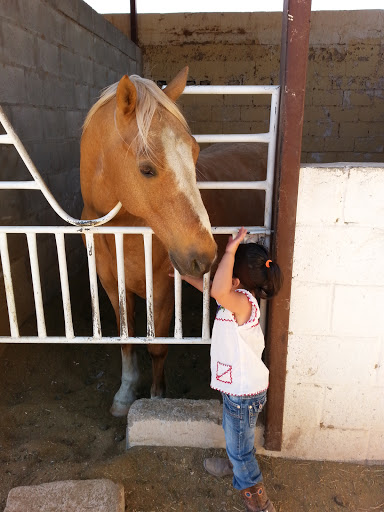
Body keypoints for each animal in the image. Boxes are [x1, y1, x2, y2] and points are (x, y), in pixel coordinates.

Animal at [79, 67, 218, 416]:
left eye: (195, 153)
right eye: (146, 169)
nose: (204, 255)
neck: (124, 234)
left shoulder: (163, 290)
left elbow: (157, 347)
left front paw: (157, 399)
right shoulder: (113, 287)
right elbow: (127, 339)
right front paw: (125, 393)